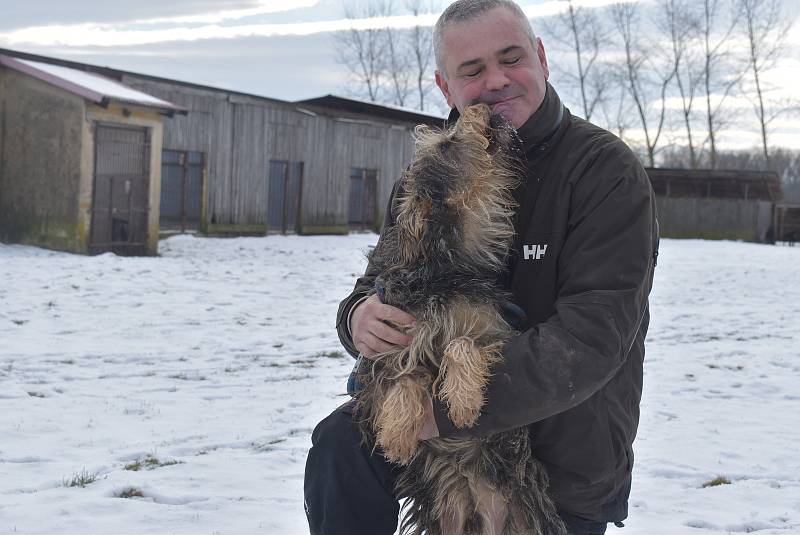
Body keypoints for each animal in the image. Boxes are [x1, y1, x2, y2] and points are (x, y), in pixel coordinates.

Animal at [354, 104, 564, 535]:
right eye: (448, 144)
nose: (480, 106)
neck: (446, 267)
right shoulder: (382, 350)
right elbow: (407, 375)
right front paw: (397, 433)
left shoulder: (498, 333)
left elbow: (460, 344)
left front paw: (464, 400)